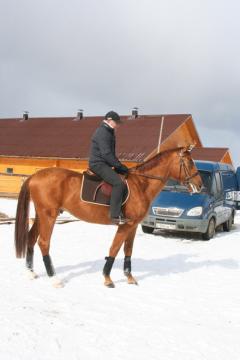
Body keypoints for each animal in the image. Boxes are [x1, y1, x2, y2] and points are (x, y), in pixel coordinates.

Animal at [14, 145, 202, 288]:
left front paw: (129, 277)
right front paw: (107, 278)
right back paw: (54, 279)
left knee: (31, 238)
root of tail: (35, 176)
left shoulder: (133, 226)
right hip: (49, 216)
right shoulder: (124, 225)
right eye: (189, 162)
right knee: (43, 243)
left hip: (41, 215)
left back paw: (30, 272)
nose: (200, 185)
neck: (141, 184)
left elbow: (128, 250)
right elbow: (114, 249)